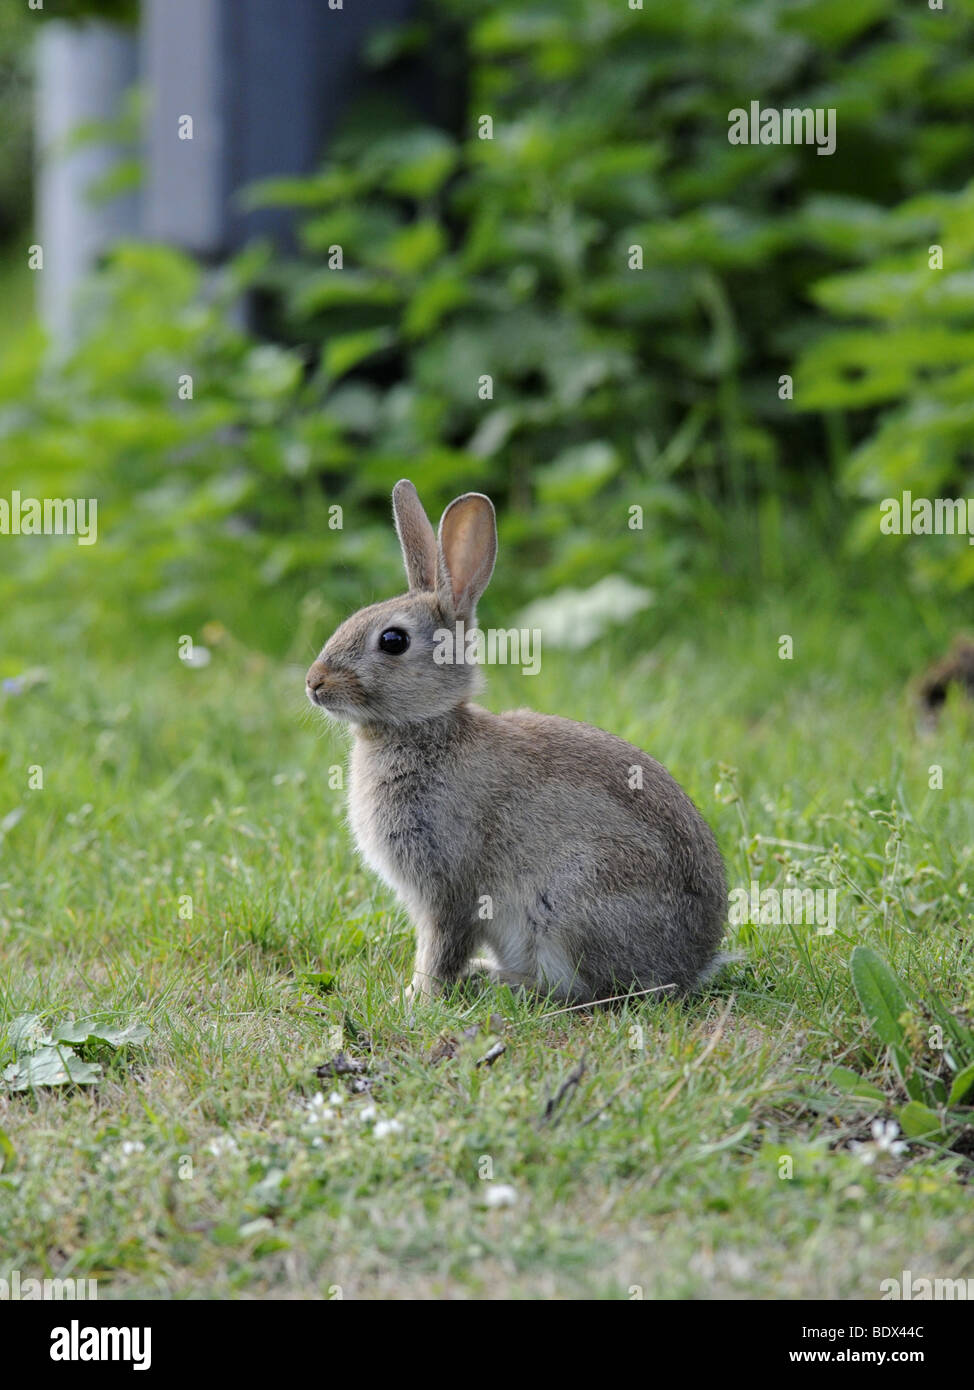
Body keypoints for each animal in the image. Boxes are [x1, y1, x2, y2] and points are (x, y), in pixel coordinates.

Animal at [307, 478, 728, 1000]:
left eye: (392, 641)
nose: (314, 682)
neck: (425, 728)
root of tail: (694, 963)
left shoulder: (449, 886)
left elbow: (441, 945)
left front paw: (417, 997)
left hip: (571, 903)